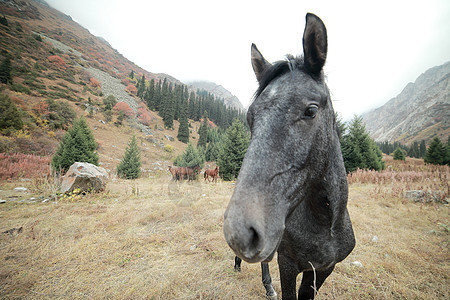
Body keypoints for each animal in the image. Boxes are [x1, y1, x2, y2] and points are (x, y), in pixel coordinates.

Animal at [224, 12, 356, 298]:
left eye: (311, 110)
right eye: (250, 118)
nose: (239, 234)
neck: (324, 223)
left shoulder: (322, 270)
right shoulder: (288, 265)